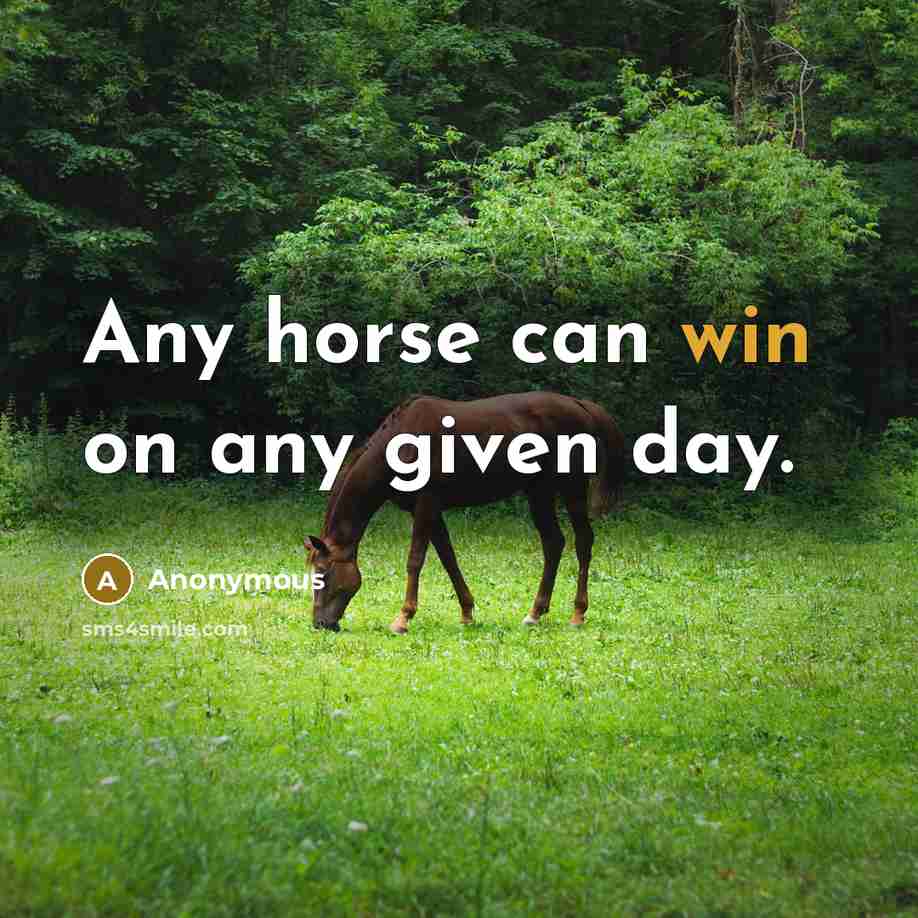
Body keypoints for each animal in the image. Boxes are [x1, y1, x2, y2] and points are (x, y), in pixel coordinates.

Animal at [305, 391, 625, 633]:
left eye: (323, 574)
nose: (320, 624)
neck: (402, 443)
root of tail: (579, 404)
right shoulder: (428, 511)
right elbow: (449, 558)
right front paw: (467, 612)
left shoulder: (427, 505)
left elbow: (415, 560)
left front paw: (403, 618)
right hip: (539, 492)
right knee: (553, 543)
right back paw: (535, 612)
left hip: (572, 488)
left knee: (583, 541)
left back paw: (578, 614)